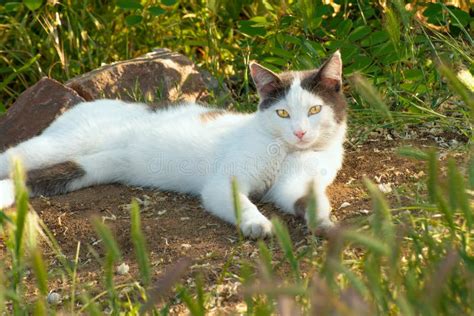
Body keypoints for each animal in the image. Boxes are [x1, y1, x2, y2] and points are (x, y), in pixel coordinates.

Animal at [0, 51, 348, 237]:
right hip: (56, 145)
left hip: (93, 166)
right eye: (282, 113)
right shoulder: (224, 182)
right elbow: (242, 202)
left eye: (314, 110)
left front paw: (323, 221)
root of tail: (82, 104)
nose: (300, 133)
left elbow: (306, 198)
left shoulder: (298, 182)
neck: (286, 151)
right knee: (12, 156)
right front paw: (256, 223)